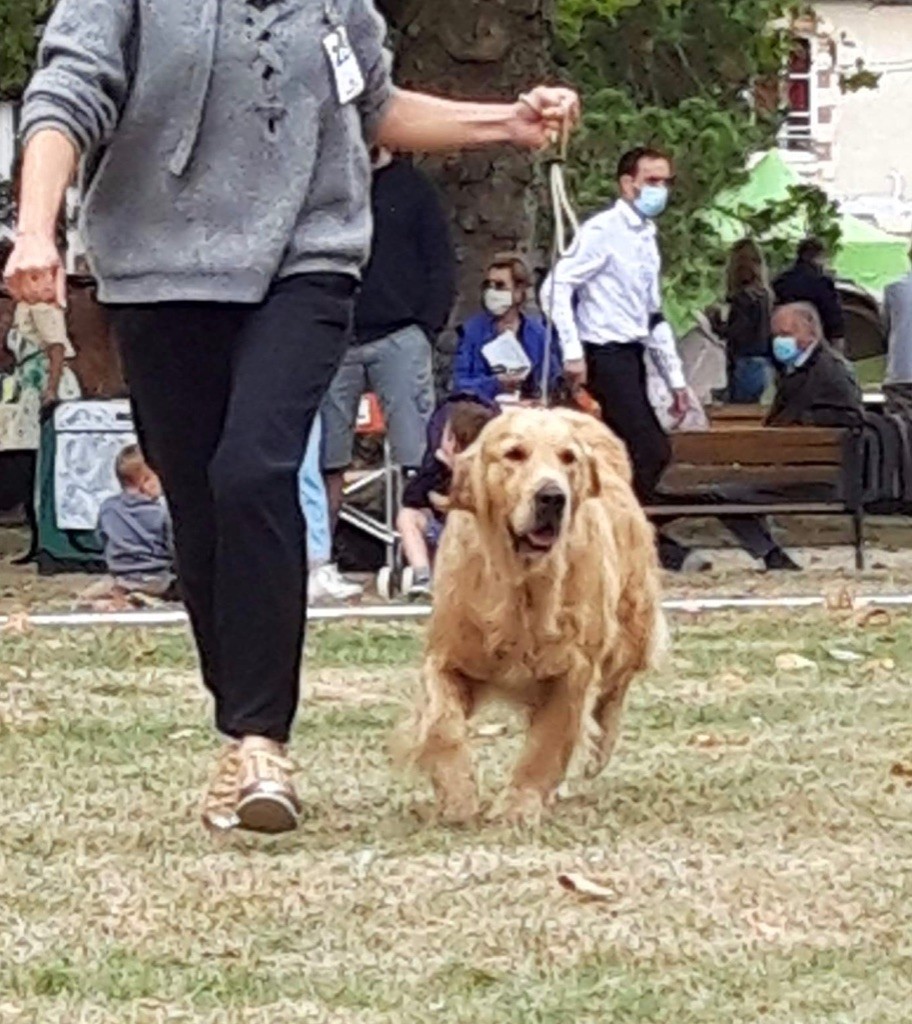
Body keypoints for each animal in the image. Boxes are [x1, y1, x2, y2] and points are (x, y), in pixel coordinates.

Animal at [395, 406, 666, 824]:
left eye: (568, 457)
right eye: (514, 454)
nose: (552, 497)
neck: (520, 583)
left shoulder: (572, 670)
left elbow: (547, 743)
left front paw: (518, 806)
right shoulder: (446, 656)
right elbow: (443, 725)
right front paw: (458, 796)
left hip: (629, 627)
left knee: (613, 694)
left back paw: (599, 751)